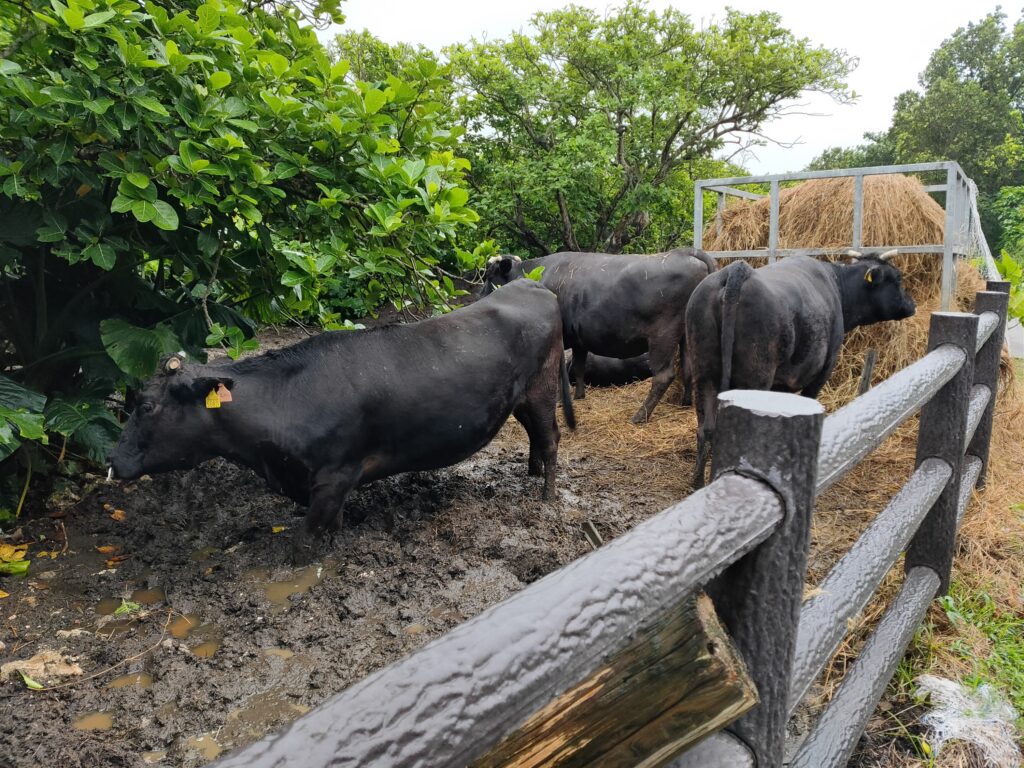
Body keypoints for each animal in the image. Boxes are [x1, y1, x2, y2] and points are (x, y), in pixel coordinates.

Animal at [114, 280, 577, 557]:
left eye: (146, 406)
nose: (113, 463)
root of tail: (531, 283)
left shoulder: (334, 476)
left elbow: (305, 544)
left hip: (542, 387)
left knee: (551, 438)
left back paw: (546, 497)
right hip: (521, 398)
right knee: (536, 438)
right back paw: (532, 474)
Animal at [483, 247, 716, 423]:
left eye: (489, 276)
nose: (480, 297)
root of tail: (686, 252)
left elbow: (560, 372)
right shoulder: (579, 339)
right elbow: (578, 367)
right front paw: (579, 396)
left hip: (662, 336)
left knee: (664, 375)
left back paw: (640, 415)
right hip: (686, 335)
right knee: (689, 368)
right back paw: (685, 403)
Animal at [688, 249, 913, 489]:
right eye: (897, 278)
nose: (912, 304)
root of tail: (737, 269)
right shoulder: (823, 369)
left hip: (704, 375)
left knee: (706, 429)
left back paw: (698, 483)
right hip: (754, 378)